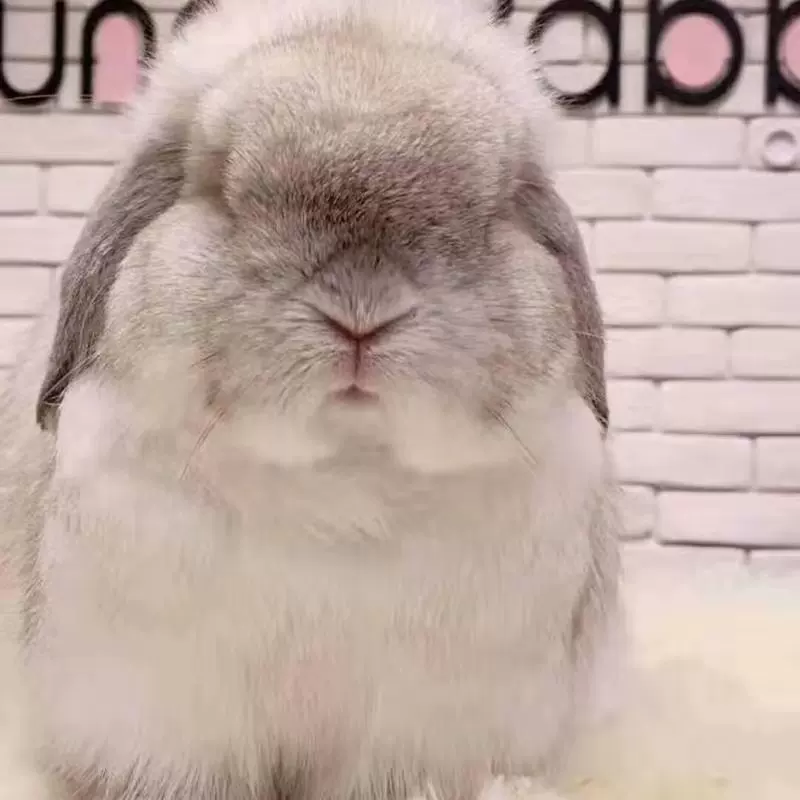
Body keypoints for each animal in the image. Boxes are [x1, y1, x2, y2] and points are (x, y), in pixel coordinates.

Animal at [0, 0, 622, 798]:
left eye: (492, 211)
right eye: (222, 191)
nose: (362, 311)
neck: (343, 471)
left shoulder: (424, 722)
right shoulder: (164, 704)